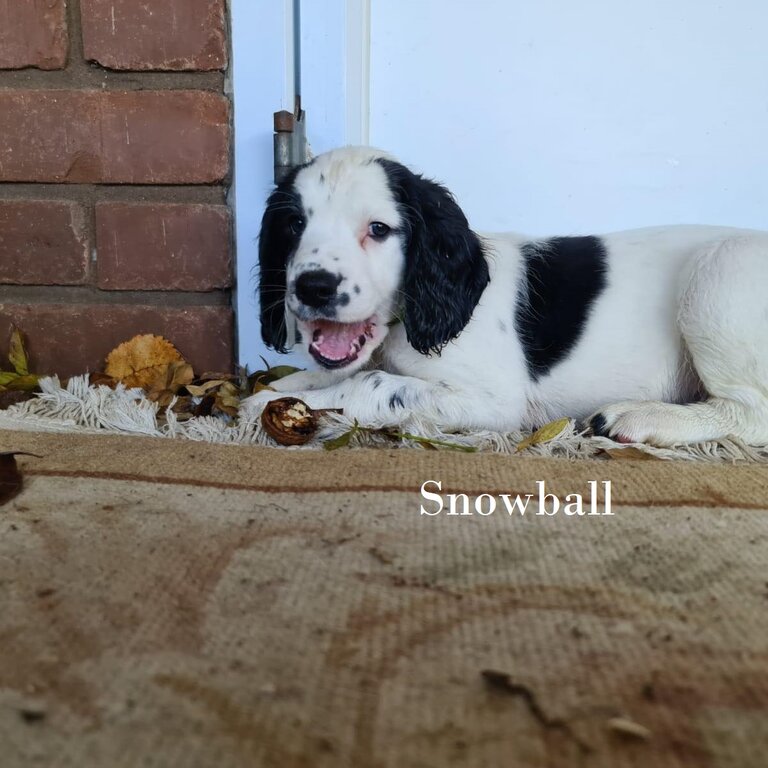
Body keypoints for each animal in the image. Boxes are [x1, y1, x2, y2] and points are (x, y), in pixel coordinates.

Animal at [243, 147, 768, 448]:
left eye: (378, 229)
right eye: (294, 225)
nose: (313, 287)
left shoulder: (494, 400)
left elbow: (368, 384)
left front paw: (278, 405)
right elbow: (323, 376)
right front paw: (273, 394)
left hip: (716, 273)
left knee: (751, 413)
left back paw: (642, 417)